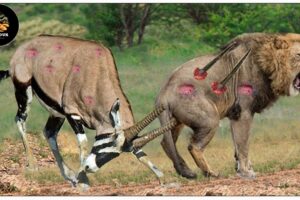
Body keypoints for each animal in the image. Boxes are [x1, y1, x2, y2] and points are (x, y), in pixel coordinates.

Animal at [156, 33, 300, 180]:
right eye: (299, 55)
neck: (267, 65)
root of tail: (163, 94)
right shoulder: (243, 112)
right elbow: (243, 145)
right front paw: (246, 172)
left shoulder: (234, 114)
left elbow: (237, 145)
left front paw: (242, 169)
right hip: (210, 119)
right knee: (193, 146)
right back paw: (210, 173)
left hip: (176, 121)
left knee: (167, 143)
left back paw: (186, 171)